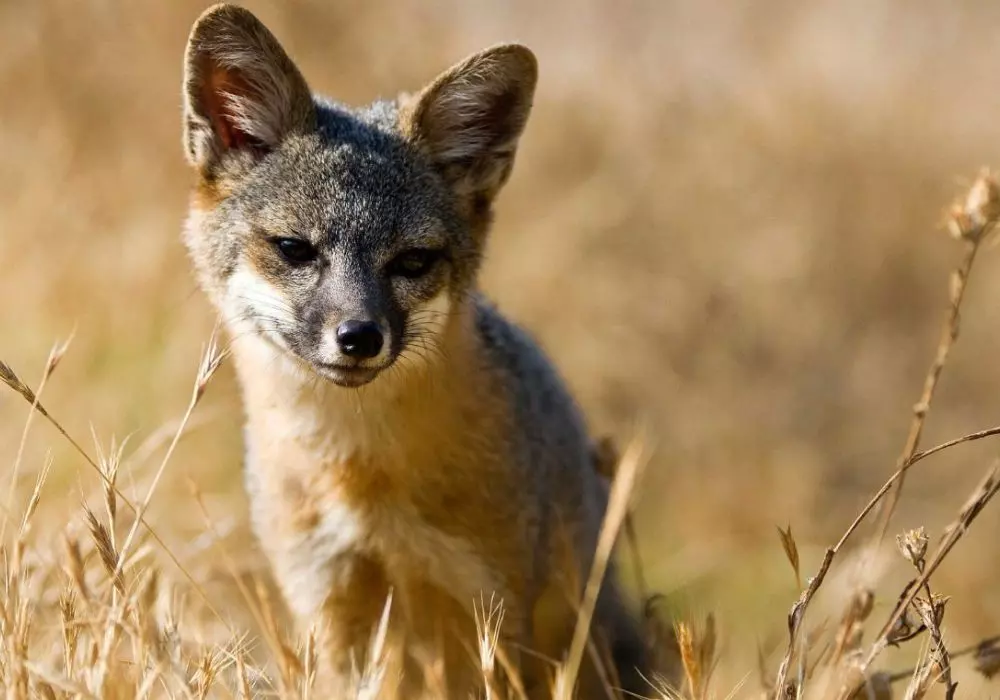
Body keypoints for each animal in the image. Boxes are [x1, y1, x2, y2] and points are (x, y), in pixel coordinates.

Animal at [180, 4, 652, 696]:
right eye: (295, 249)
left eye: (412, 261)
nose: (359, 336)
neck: (361, 474)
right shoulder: (328, 599)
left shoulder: (495, 608)